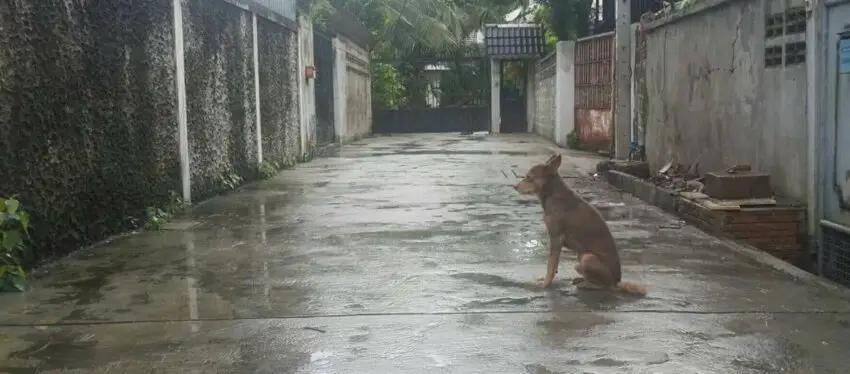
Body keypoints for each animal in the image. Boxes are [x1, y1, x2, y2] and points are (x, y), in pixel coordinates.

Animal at [512, 152, 644, 296]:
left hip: (587, 258)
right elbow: (554, 265)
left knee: (604, 286)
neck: (553, 194)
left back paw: (585, 284)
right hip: (580, 257)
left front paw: (545, 283)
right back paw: (580, 280)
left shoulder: (556, 238)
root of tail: (617, 282)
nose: (515, 187)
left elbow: (550, 264)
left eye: (529, 177)